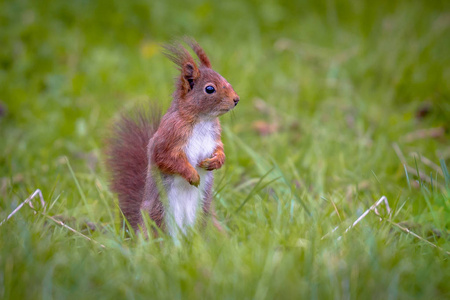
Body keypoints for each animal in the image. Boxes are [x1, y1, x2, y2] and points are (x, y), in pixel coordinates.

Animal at [105, 39, 239, 237]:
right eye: (209, 89)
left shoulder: (215, 136)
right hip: (158, 215)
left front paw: (216, 161)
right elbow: (165, 158)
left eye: (226, 80)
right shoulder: (169, 135)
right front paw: (192, 175)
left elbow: (220, 149)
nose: (236, 99)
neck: (202, 120)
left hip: (205, 216)